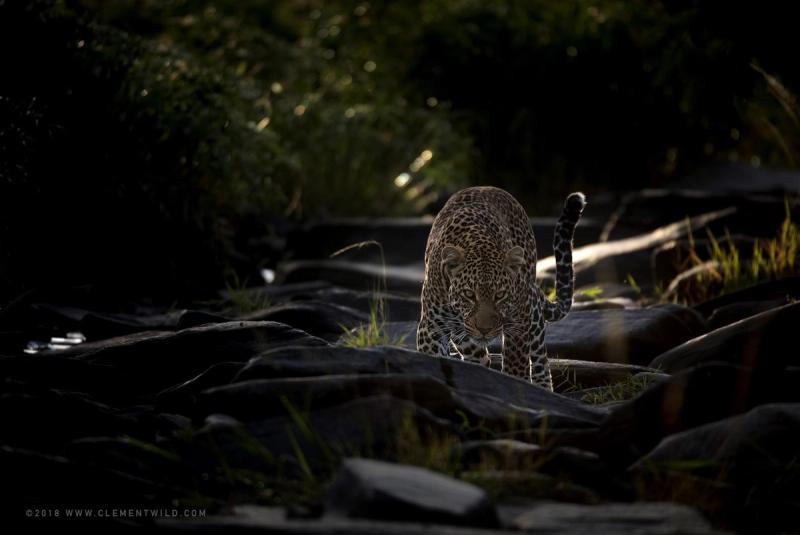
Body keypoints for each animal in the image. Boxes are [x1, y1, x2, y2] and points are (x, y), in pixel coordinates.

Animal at [416, 186, 586, 391]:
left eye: (500, 295)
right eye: (469, 294)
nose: (484, 330)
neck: (478, 244)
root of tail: (487, 187)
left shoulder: (520, 320)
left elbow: (516, 365)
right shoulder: (431, 328)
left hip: (531, 308)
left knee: (539, 357)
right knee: (481, 358)